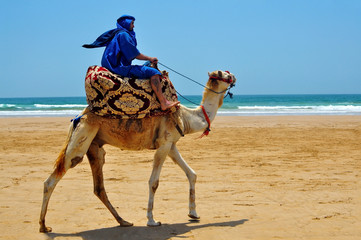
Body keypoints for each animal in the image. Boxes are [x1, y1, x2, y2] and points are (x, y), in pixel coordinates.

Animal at [39, 69, 236, 232]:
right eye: (225, 74)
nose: (234, 77)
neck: (186, 117)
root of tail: (78, 117)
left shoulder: (171, 144)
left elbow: (191, 173)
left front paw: (193, 213)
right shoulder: (164, 144)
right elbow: (154, 182)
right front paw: (152, 220)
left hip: (94, 146)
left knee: (98, 187)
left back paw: (124, 221)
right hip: (83, 137)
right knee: (52, 179)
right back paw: (43, 226)